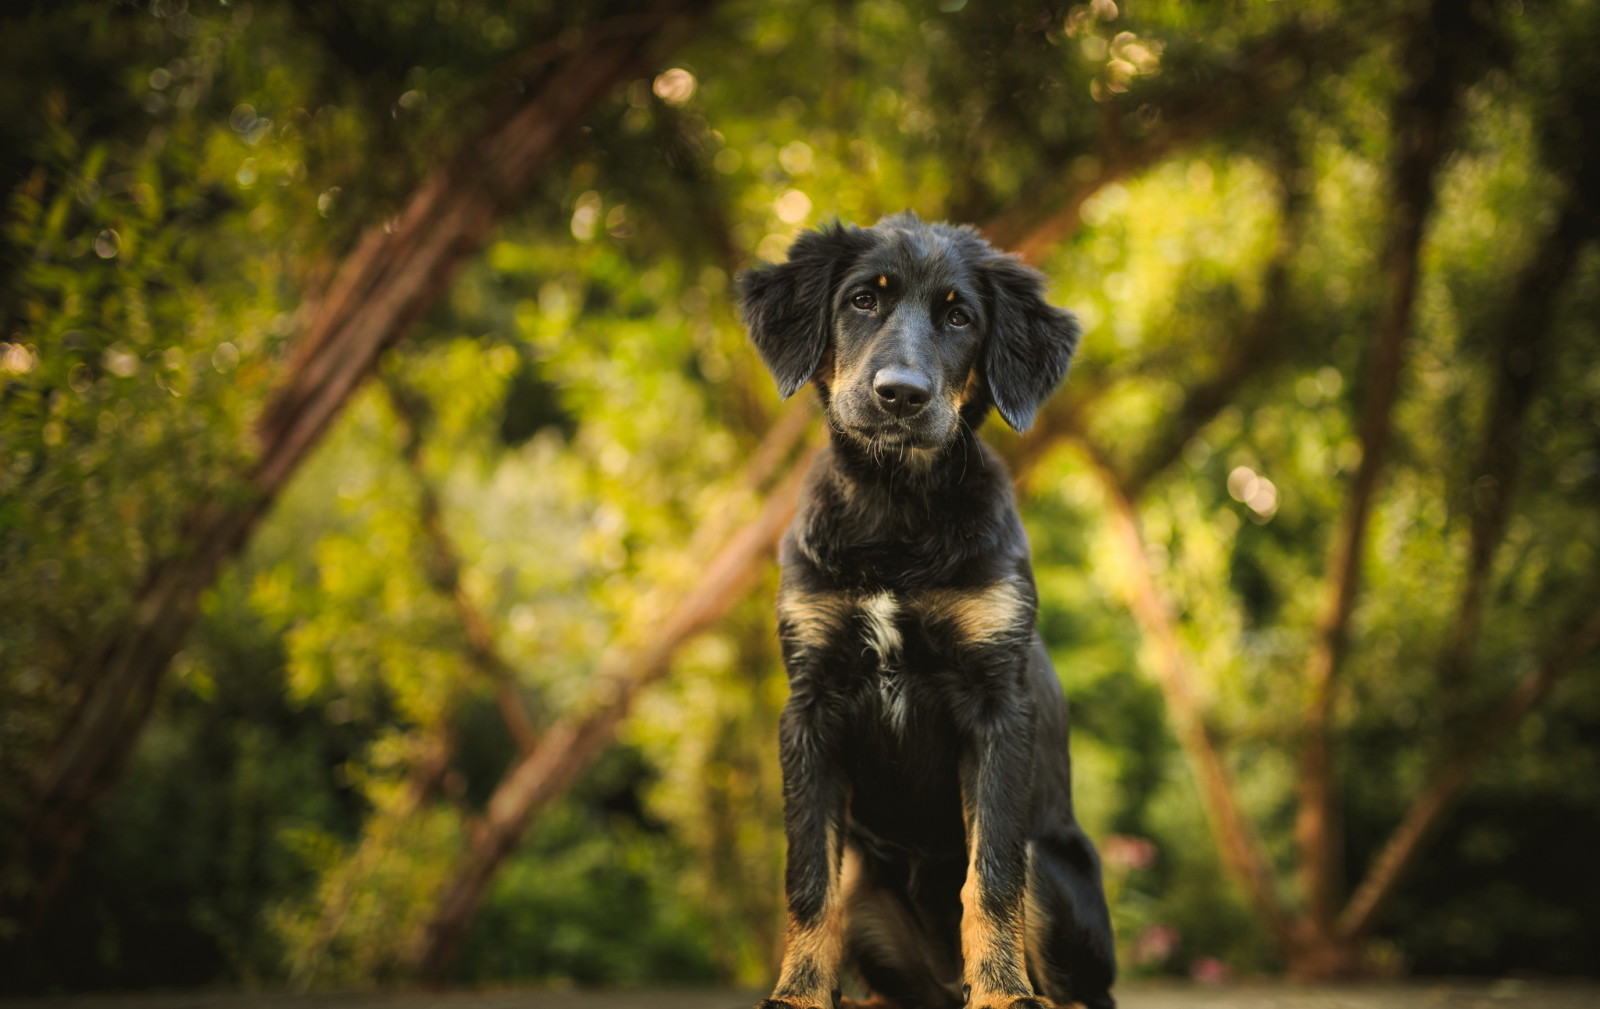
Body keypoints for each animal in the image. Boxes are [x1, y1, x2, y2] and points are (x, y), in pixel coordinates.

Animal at [742, 212, 1120, 1009]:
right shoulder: (810, 704)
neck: (896, 511)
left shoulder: (997, 705)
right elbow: (808, 880)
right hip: (872, 892)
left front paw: (1004, 993)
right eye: (862, 300)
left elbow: (993, 878)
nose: (901, 394)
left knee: (1076, 978)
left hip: (1056, 866)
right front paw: (797, 993)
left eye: (958, 316)